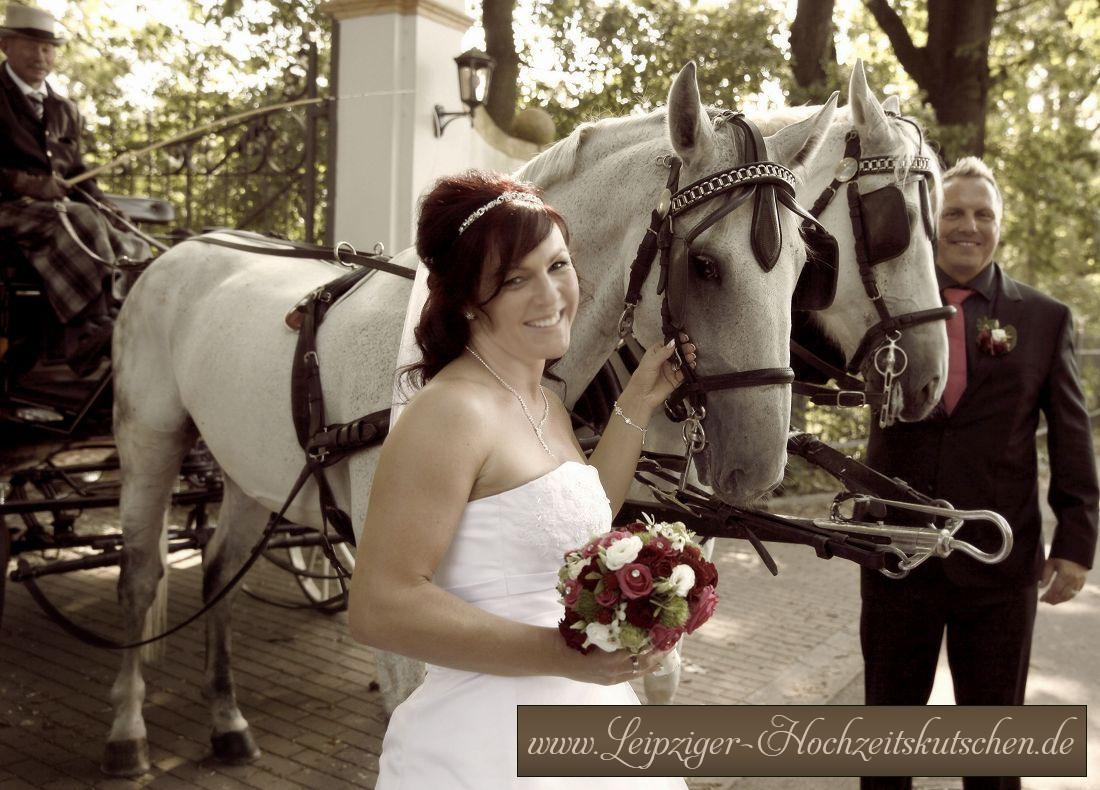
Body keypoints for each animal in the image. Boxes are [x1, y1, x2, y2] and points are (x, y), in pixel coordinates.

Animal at [105, 63, 840, 778]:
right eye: (705, 264)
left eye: (804, 268)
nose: (758, 467)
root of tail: (178, 251)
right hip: (148, 440)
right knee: (140, 577)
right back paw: (129, 730)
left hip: (246, 464)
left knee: (220, 568)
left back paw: (227, 720)